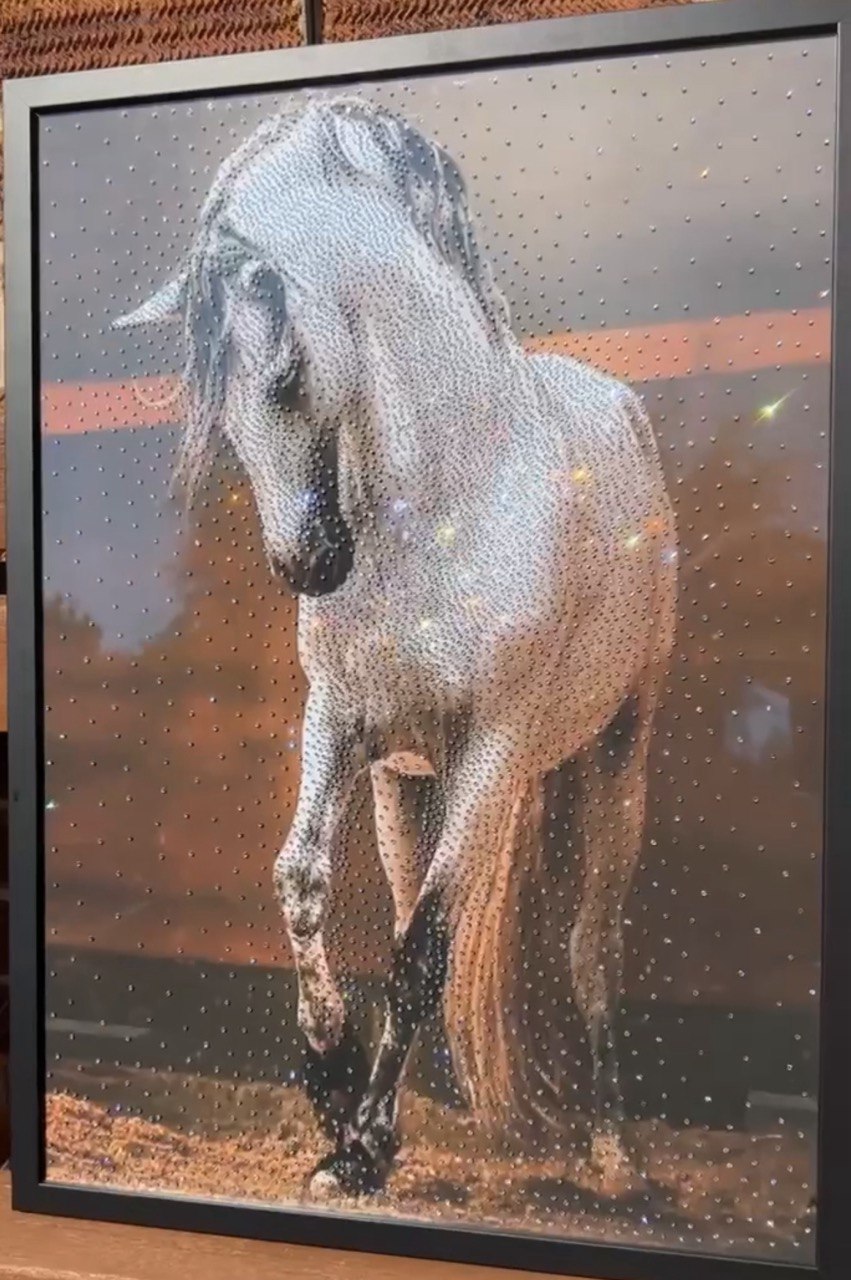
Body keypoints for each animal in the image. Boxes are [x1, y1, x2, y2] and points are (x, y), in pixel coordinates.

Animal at [115, 95, 677, 1199]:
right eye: (216, 402)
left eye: (288, 373)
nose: (308, 563)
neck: (449, 502)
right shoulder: (342, 728)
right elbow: (304, 884)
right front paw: (335, 1095)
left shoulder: (492, 752)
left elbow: (424, 946)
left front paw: (362, 1148)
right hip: (405, 791)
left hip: (611, 756)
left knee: (588, 945)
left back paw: (609, 1152)